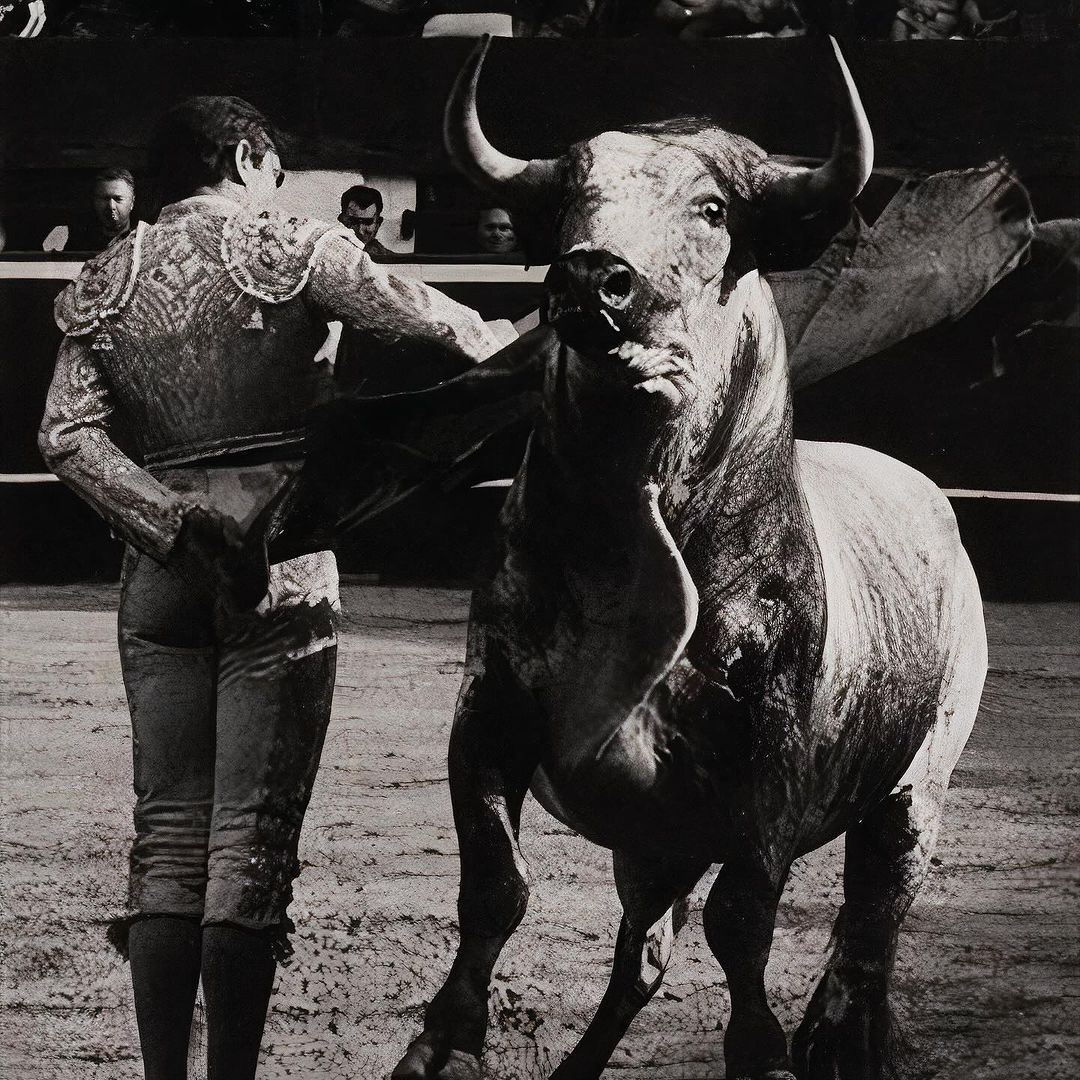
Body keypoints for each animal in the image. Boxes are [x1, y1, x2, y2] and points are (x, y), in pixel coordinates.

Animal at [392, 36, 988, 1080]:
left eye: (712, 210)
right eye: (574, 199)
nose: (593, 274)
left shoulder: (771, 767)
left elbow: (743, 921)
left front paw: (760, 1049)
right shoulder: (490, 709)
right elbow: (495, 884)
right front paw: (445, 1041)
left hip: (916, 789)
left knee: (869, 927)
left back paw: (840, 1039)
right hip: (658, 844)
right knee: (644, 955)